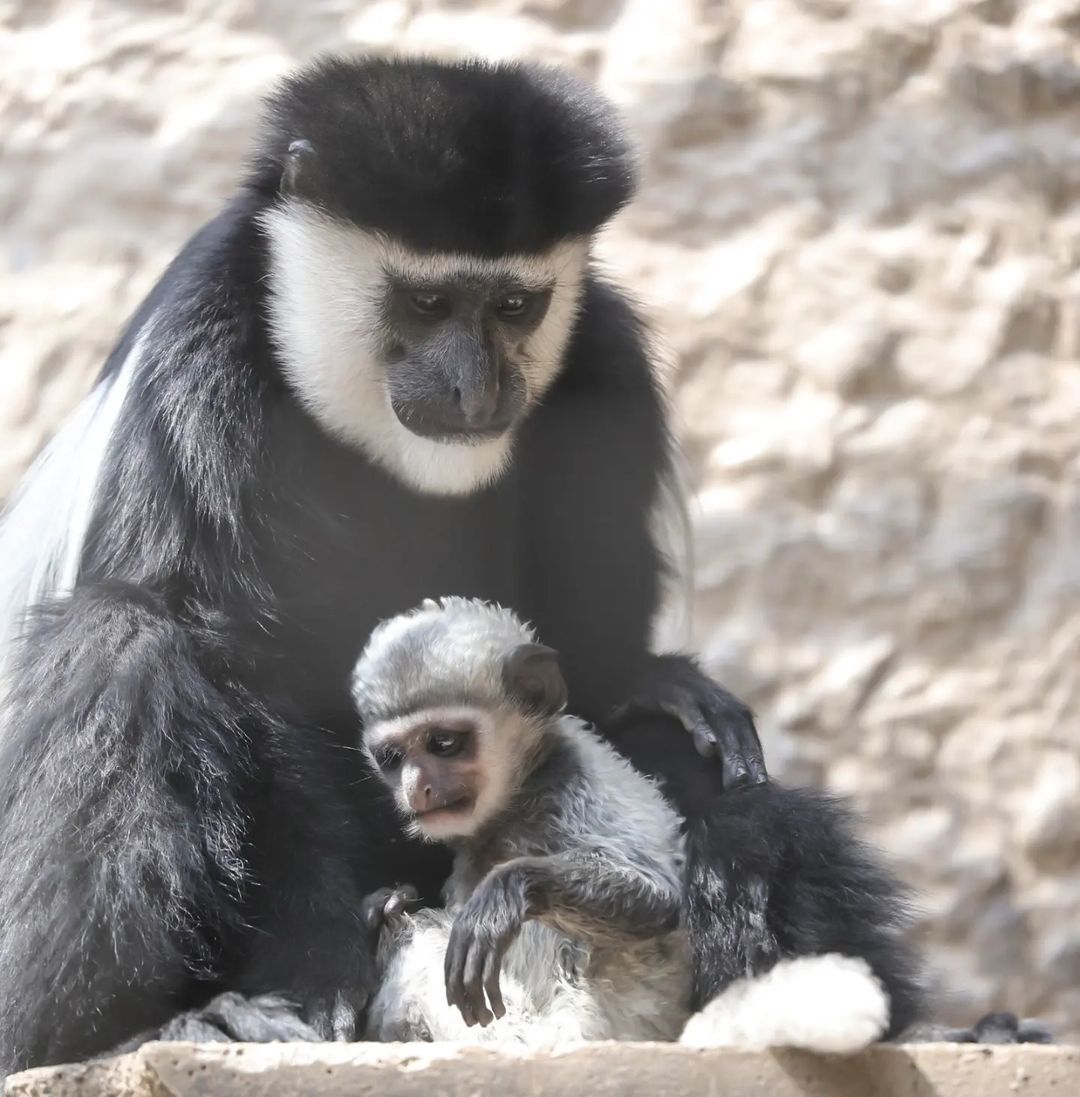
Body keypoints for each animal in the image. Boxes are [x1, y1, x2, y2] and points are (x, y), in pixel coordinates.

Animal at [0, 53, 767, 1070]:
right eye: (427, 301)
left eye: (515, 305)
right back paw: (130, 1027)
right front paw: (315, 979)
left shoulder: (602, 357)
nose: (477, 388)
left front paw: (657, 687)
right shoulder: (204, 367)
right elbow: (244, 666)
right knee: (126, 643)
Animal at [353, 601, 912, 1053]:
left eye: (444, 743)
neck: (522, 792)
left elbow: (659, 897)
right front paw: (384, 902)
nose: (419, 789)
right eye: (393, 758)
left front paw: (507, 892)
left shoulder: (572, 788)